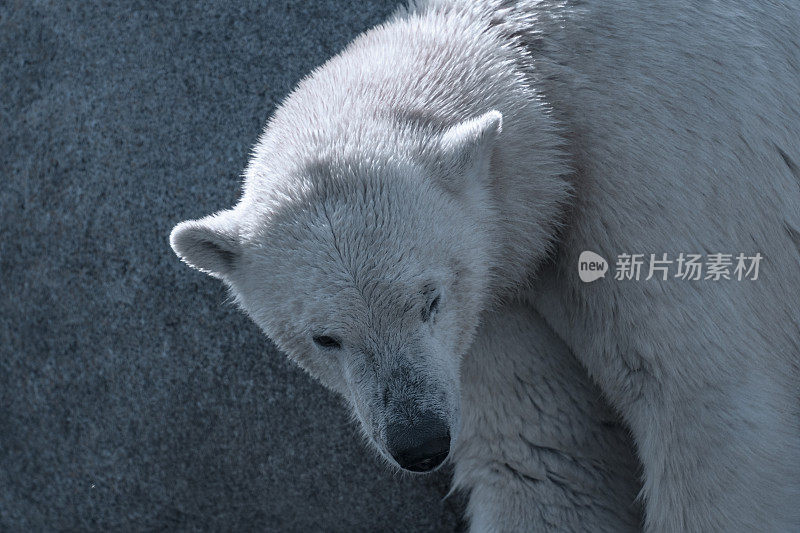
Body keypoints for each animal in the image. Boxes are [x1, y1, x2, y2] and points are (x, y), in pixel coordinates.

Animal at [170, 0, 800, 528]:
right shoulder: (490, 302)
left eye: (429, 300)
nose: (420, 443)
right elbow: (543, 452)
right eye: (326, 338)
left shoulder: (657, 177)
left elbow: (711, 409)